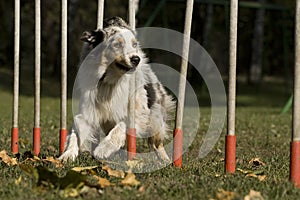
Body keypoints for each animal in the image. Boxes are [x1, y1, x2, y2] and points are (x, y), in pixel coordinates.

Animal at [58, 16, 175, 162]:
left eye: (134, 45)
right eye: (117, 45)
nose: (136, 59)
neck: (109, 82)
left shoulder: (138, 113)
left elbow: (121, 127)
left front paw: (103, 148)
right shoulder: (87, 112)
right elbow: (75, 133)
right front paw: (67, 155)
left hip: (155, 117)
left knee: (156, 142)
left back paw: (165, 160)